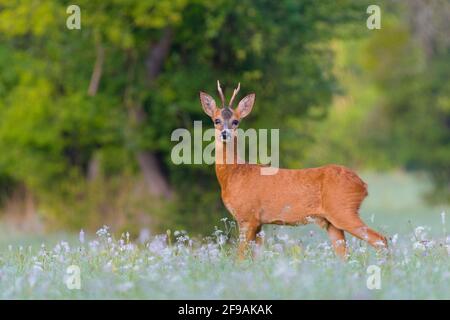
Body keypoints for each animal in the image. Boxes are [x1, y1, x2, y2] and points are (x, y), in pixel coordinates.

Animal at [199, 81, 388, 258]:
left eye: (236, 121)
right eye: (216, 120)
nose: (225, 133)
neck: (234, 175)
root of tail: (363, 185)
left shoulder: (248, 217)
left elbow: (239, 258)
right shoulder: (259, 222)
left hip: (343, 209)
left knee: (381, 239)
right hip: (333, 222)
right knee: (345, 254)